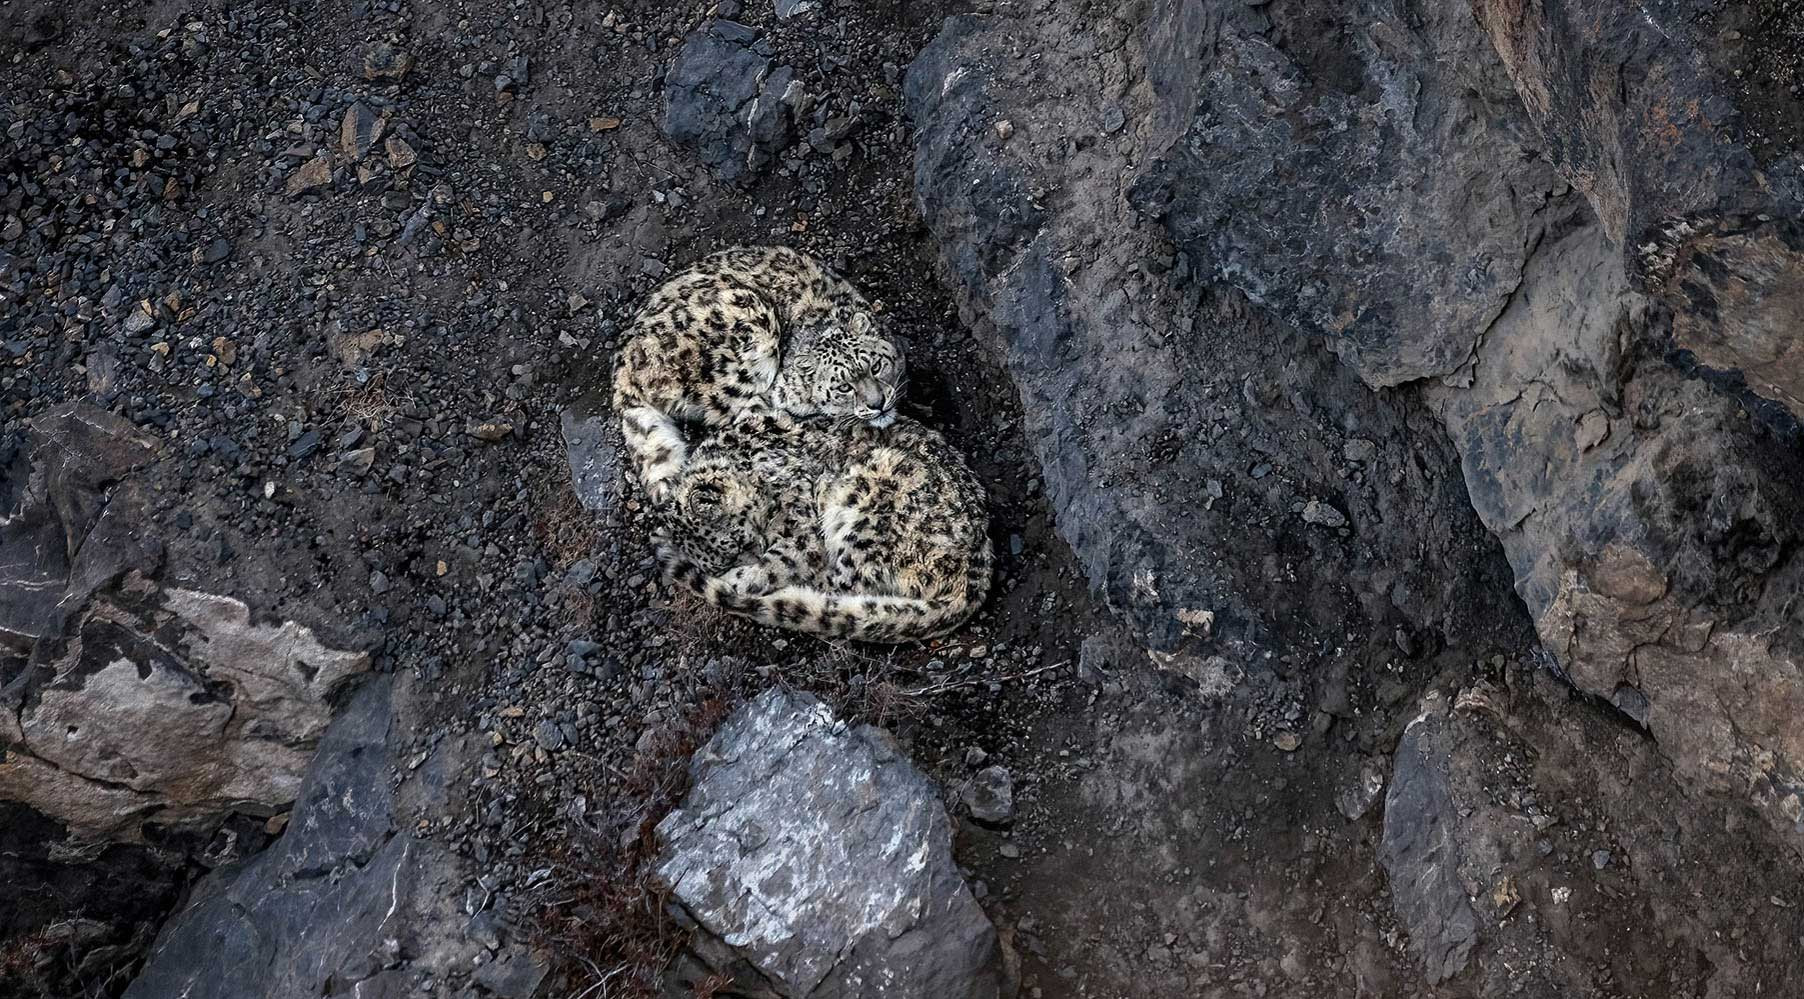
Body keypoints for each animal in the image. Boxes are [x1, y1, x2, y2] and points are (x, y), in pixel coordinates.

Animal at [655, 409, 992, 644]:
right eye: (724, 555)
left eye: (738, 542)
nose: (747, 557)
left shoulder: (800, 527)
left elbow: (781, 561)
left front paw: (739, 578)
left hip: (870, 511)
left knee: (841, 584)